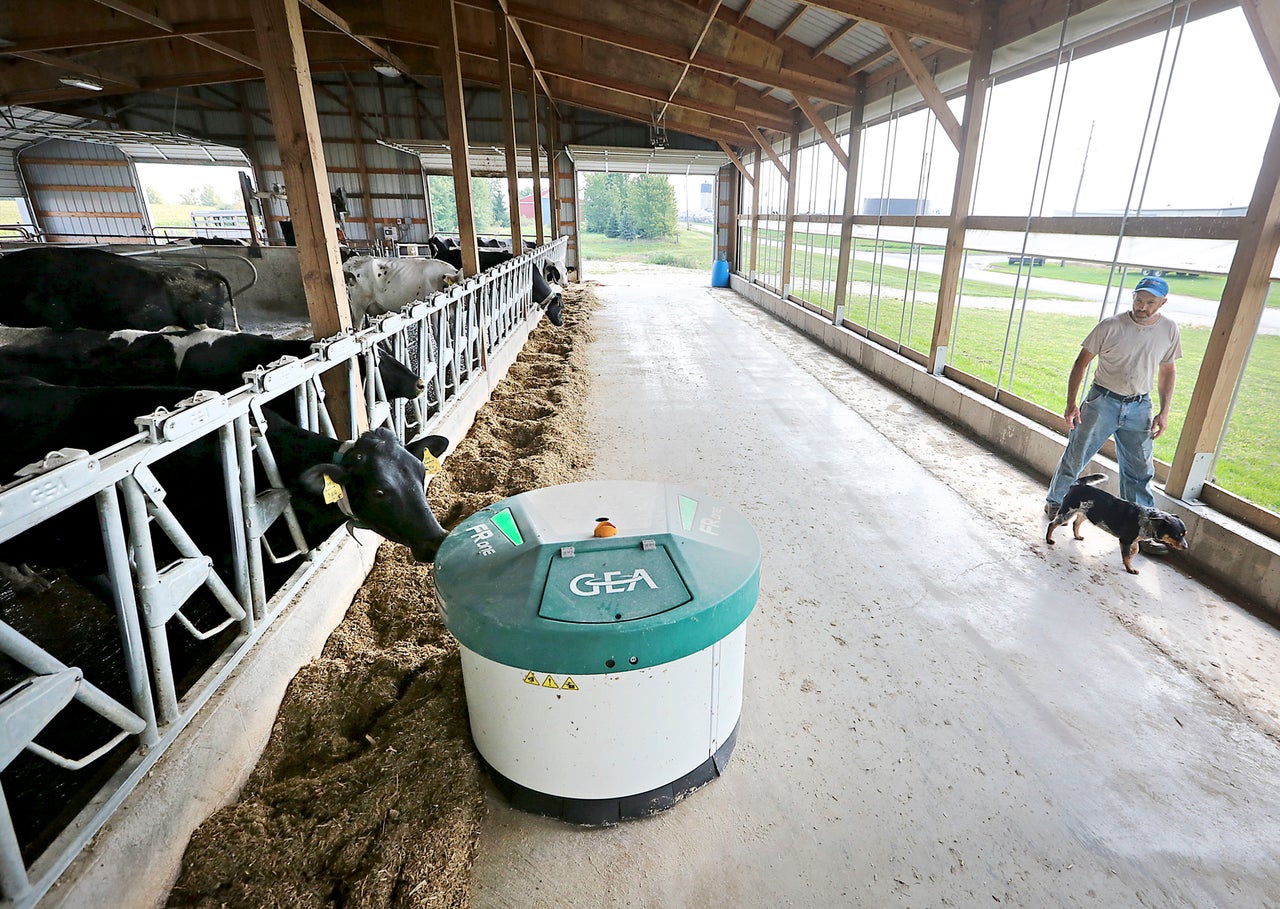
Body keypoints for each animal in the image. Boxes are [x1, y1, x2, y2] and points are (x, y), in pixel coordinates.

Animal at [1044, 476, 1182, 576]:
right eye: (1177, 535)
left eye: (1184, 534)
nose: (1185, 546)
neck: (1149, 519)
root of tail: (1077, 484)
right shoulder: (1125, 540)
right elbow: (1127, 556)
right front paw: (1130, 568)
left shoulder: (1133, 540)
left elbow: (1135, 550)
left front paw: (1130, 558)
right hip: (1066, 513)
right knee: (1052, 524)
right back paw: (1049, 539)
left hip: (1086, 514)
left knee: (1075, 524)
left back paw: (1077, 536)